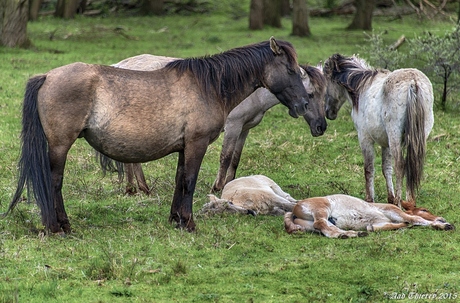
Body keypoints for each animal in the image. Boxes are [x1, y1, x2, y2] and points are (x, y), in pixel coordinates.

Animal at [2, 36, 310, 234]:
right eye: (291, 69)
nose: (304, 104)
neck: (208, 87)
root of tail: (47, 76)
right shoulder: (196, 144)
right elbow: (189, 181)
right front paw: (189, 223)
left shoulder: (184, 147)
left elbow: (179, 180)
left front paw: (176, 220)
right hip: (59, 145)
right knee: (53, 183)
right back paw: (60, 226)